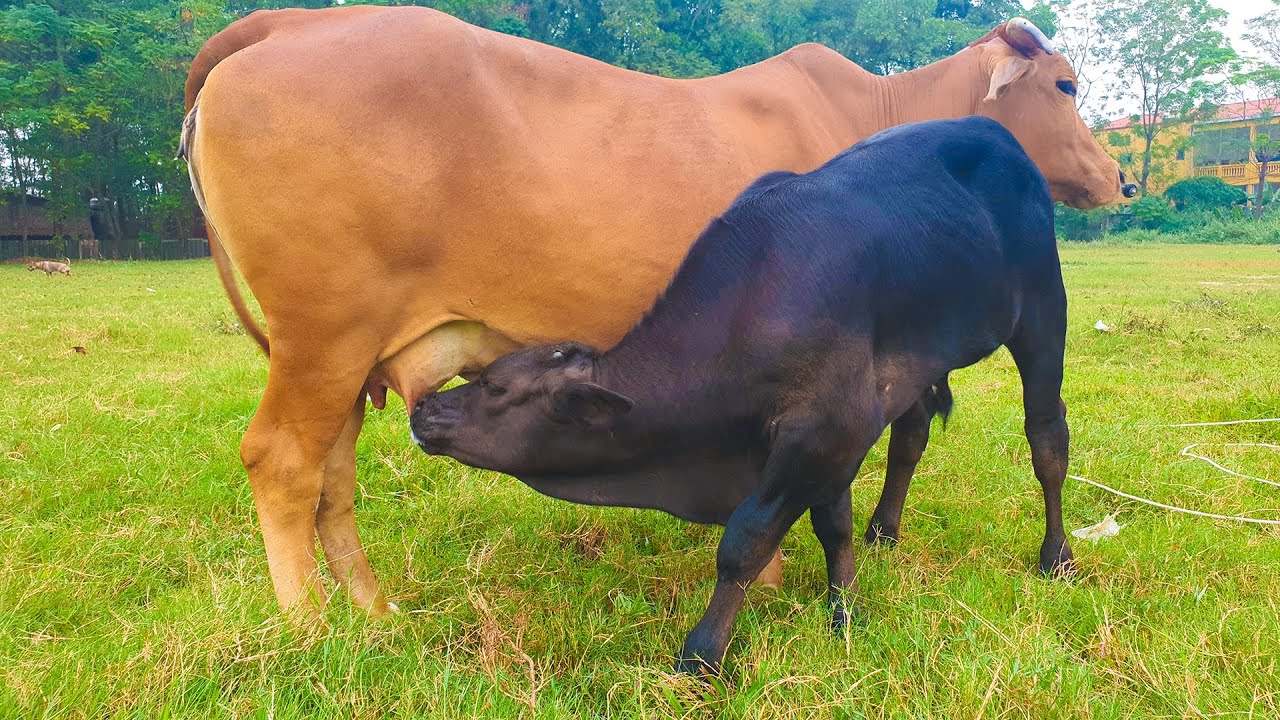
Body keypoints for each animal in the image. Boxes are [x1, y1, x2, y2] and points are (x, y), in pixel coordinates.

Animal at [181, 6, 1123, 617]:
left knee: (330, 477)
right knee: (282, 462)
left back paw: (375, 614)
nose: (1120, 177)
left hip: (346, 355)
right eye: (1066, 85)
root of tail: (287, 25)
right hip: (324, 336)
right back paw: (311, 626)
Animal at [409, 116, 1073, 674]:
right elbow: (834, 526)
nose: (421, 409)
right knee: (910, 437)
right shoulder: (840, 432)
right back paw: (886, 529)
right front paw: (845, 612)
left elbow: (745, 543)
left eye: (495, 386)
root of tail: (997, 131)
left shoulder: (821, 430)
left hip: (1044, 313)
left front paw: (703, 653)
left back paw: (1057, 555)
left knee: (1047, 440)